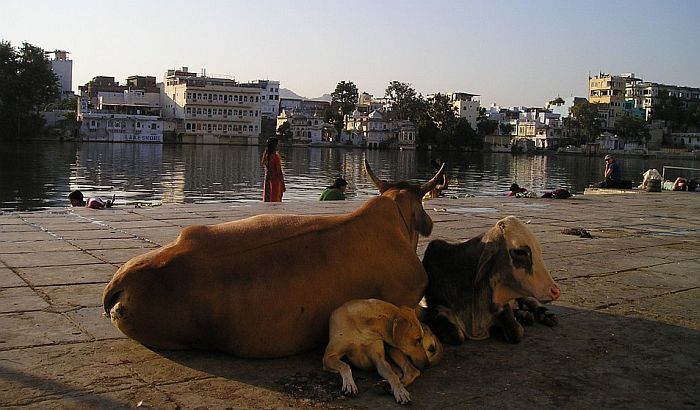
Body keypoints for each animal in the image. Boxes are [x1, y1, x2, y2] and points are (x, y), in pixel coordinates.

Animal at [422, 216, 564, 344]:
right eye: (520, 252)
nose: (555, 291)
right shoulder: (437, 309)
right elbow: (456, 336)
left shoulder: (502, 305)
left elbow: (516, 332)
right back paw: (525, 315)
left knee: (533, 302)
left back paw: (546, 315)